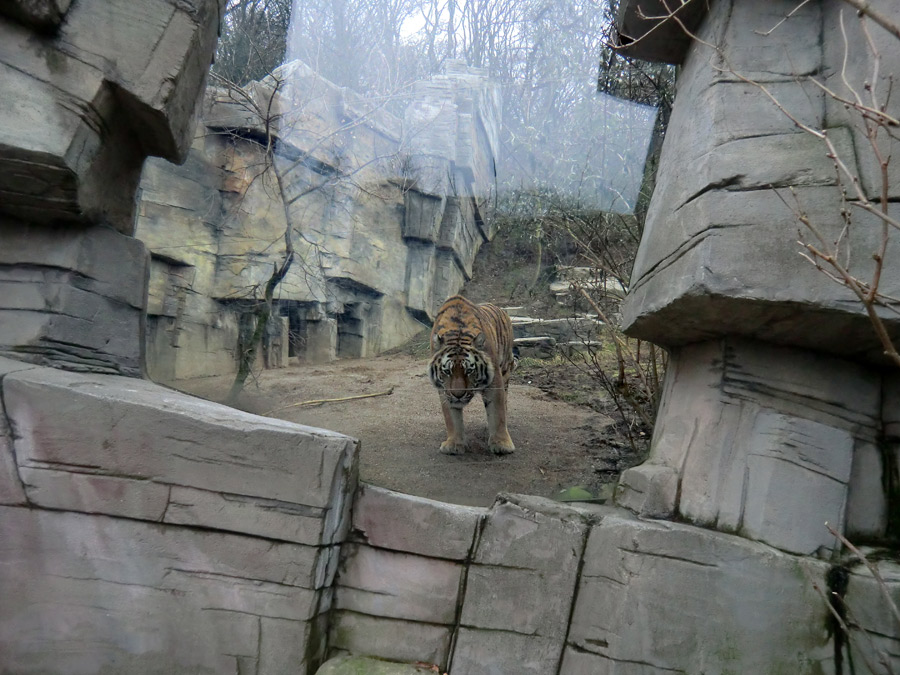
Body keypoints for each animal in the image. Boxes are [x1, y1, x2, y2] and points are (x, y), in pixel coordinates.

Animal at [430, 294, 516, 456]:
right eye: (447, 371)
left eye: (469, 370)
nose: (458, 395)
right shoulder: (444, 390)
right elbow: (451, 417)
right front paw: (454, 444)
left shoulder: (495, 380)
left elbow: (497, 411)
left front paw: (501, 444)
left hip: (506, 369)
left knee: (505, 400)